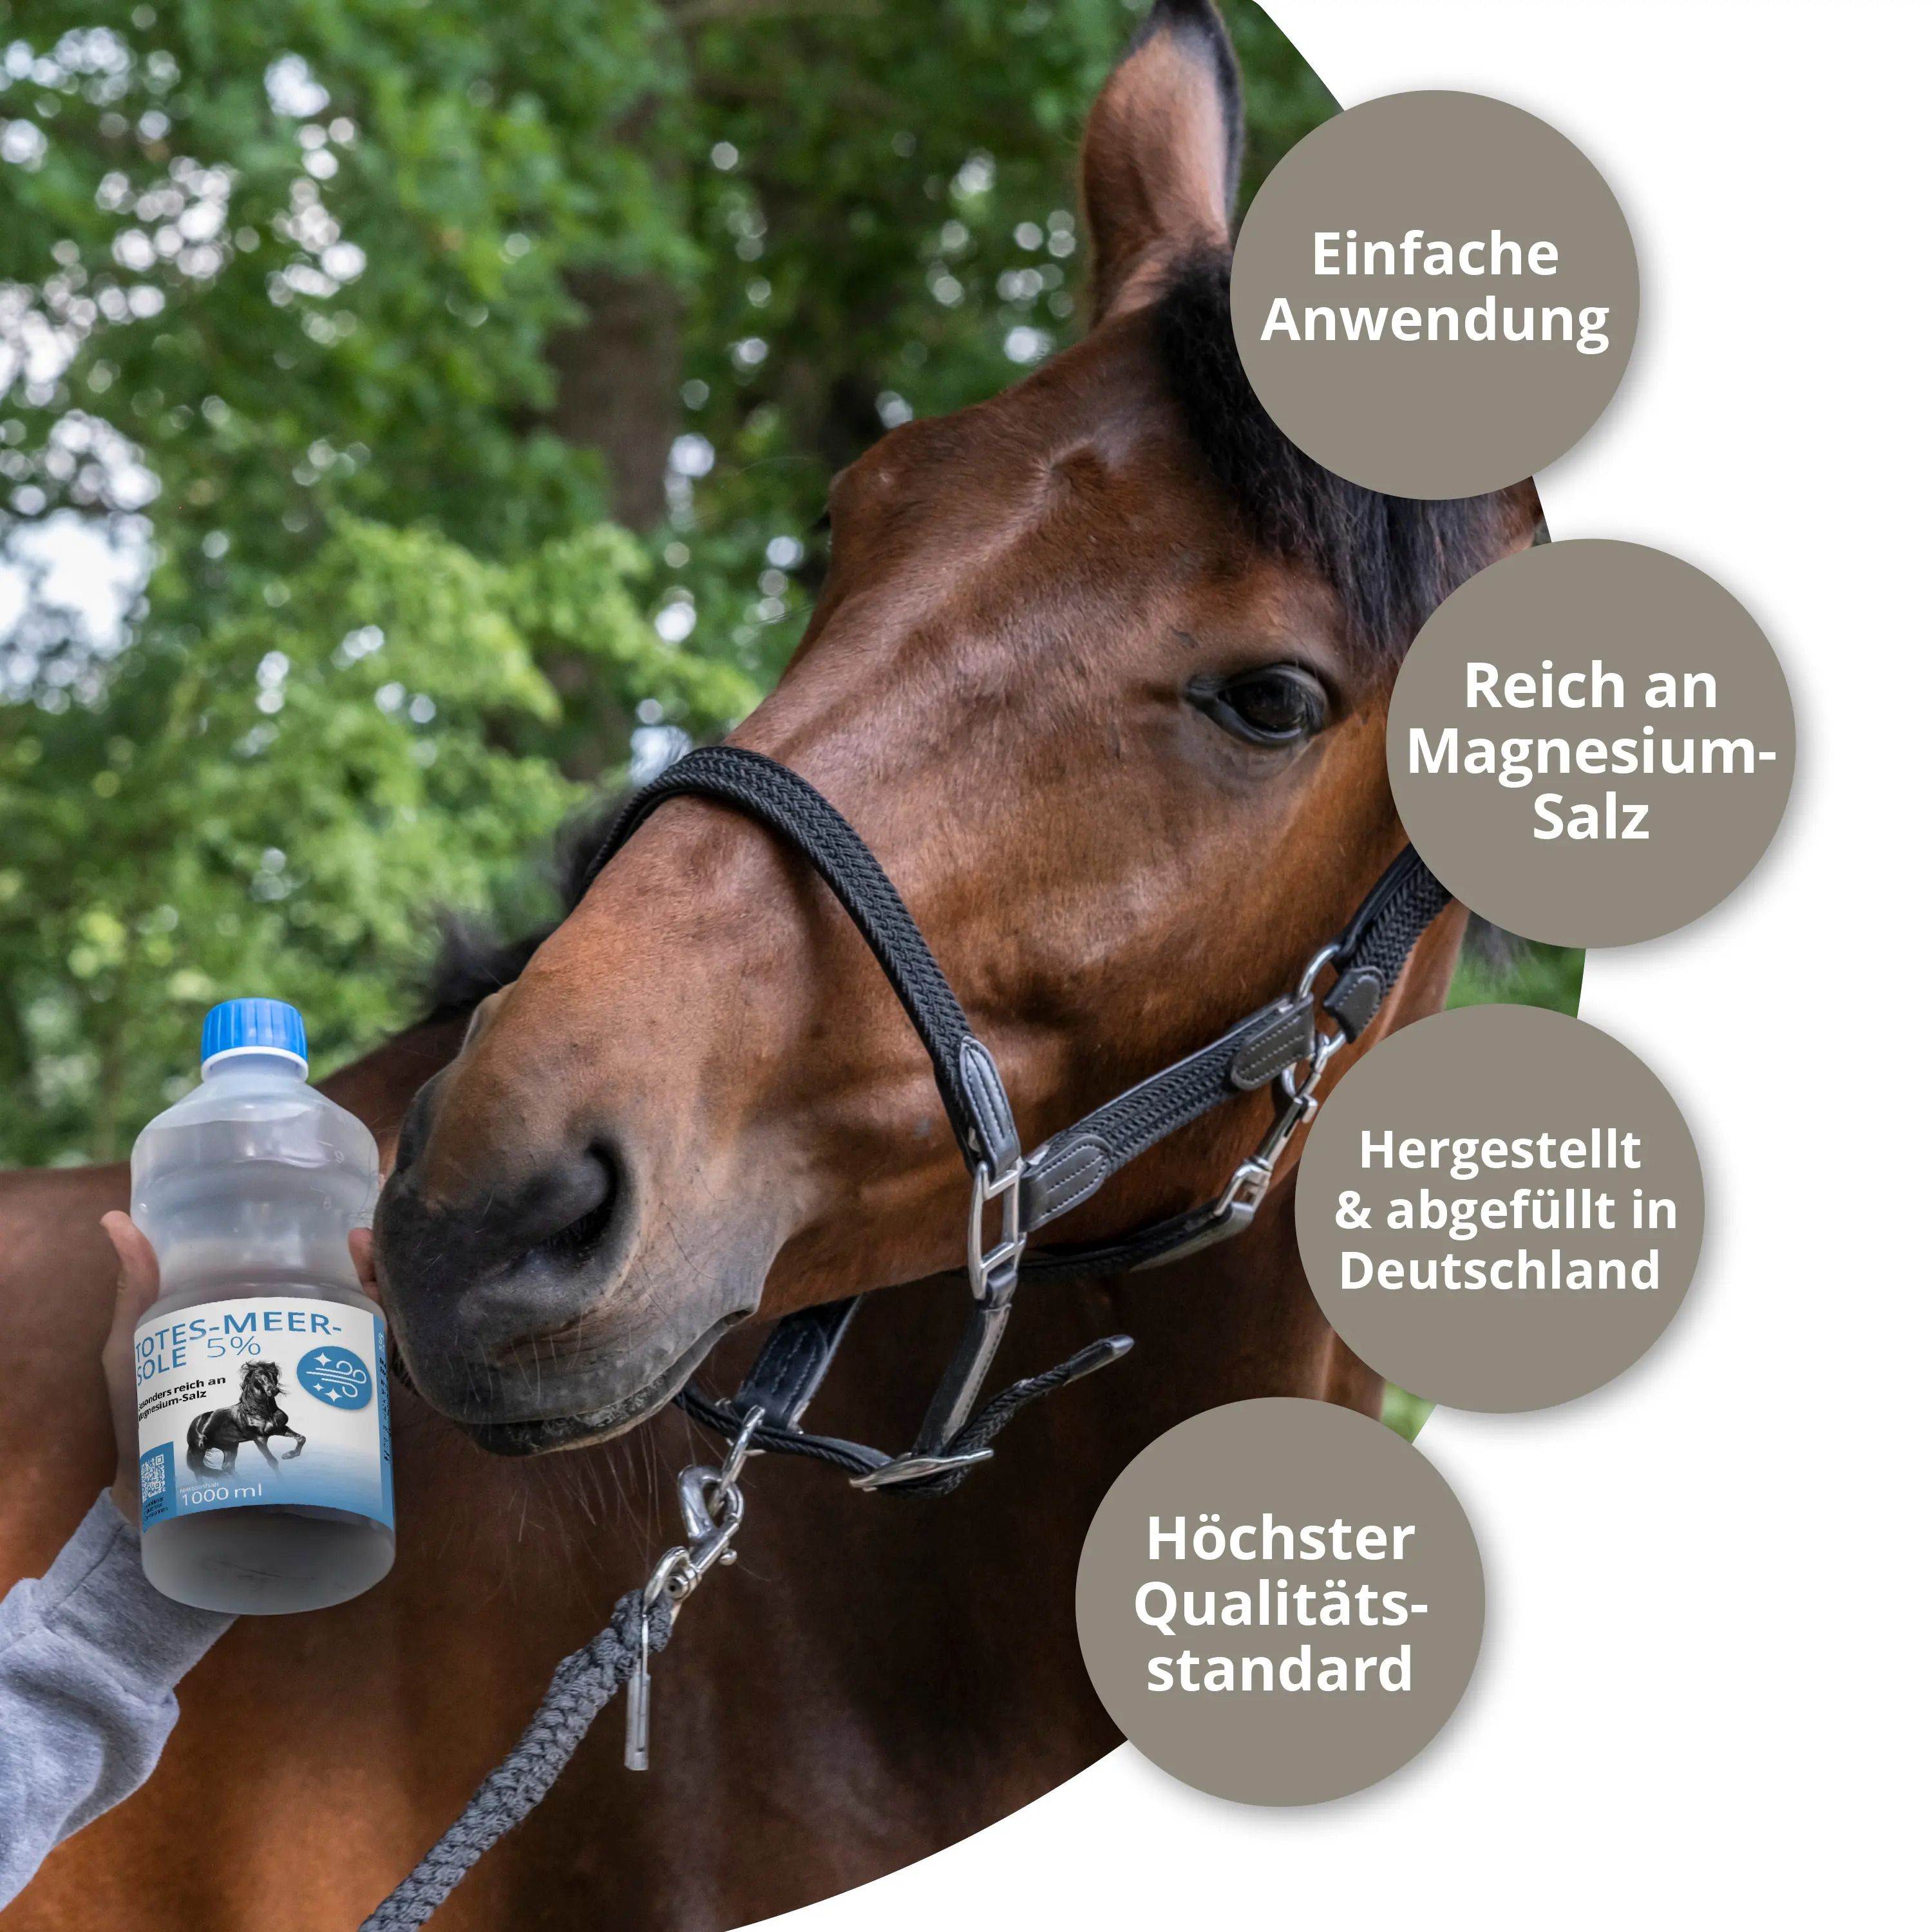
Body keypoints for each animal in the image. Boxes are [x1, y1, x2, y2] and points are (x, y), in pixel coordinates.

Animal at [184, 1360, 306, 1475]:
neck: (261, 1412)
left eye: (274, 1374)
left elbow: (301, 1438)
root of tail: (195, 1423)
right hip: (198, 1450)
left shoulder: (279, 1429)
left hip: (230, 1447)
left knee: (228, 1467)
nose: (273, 1390)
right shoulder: (259, 1438)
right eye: (259, 1375)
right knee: (199, 1470)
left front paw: (288, 1455)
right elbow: (273, 1462)